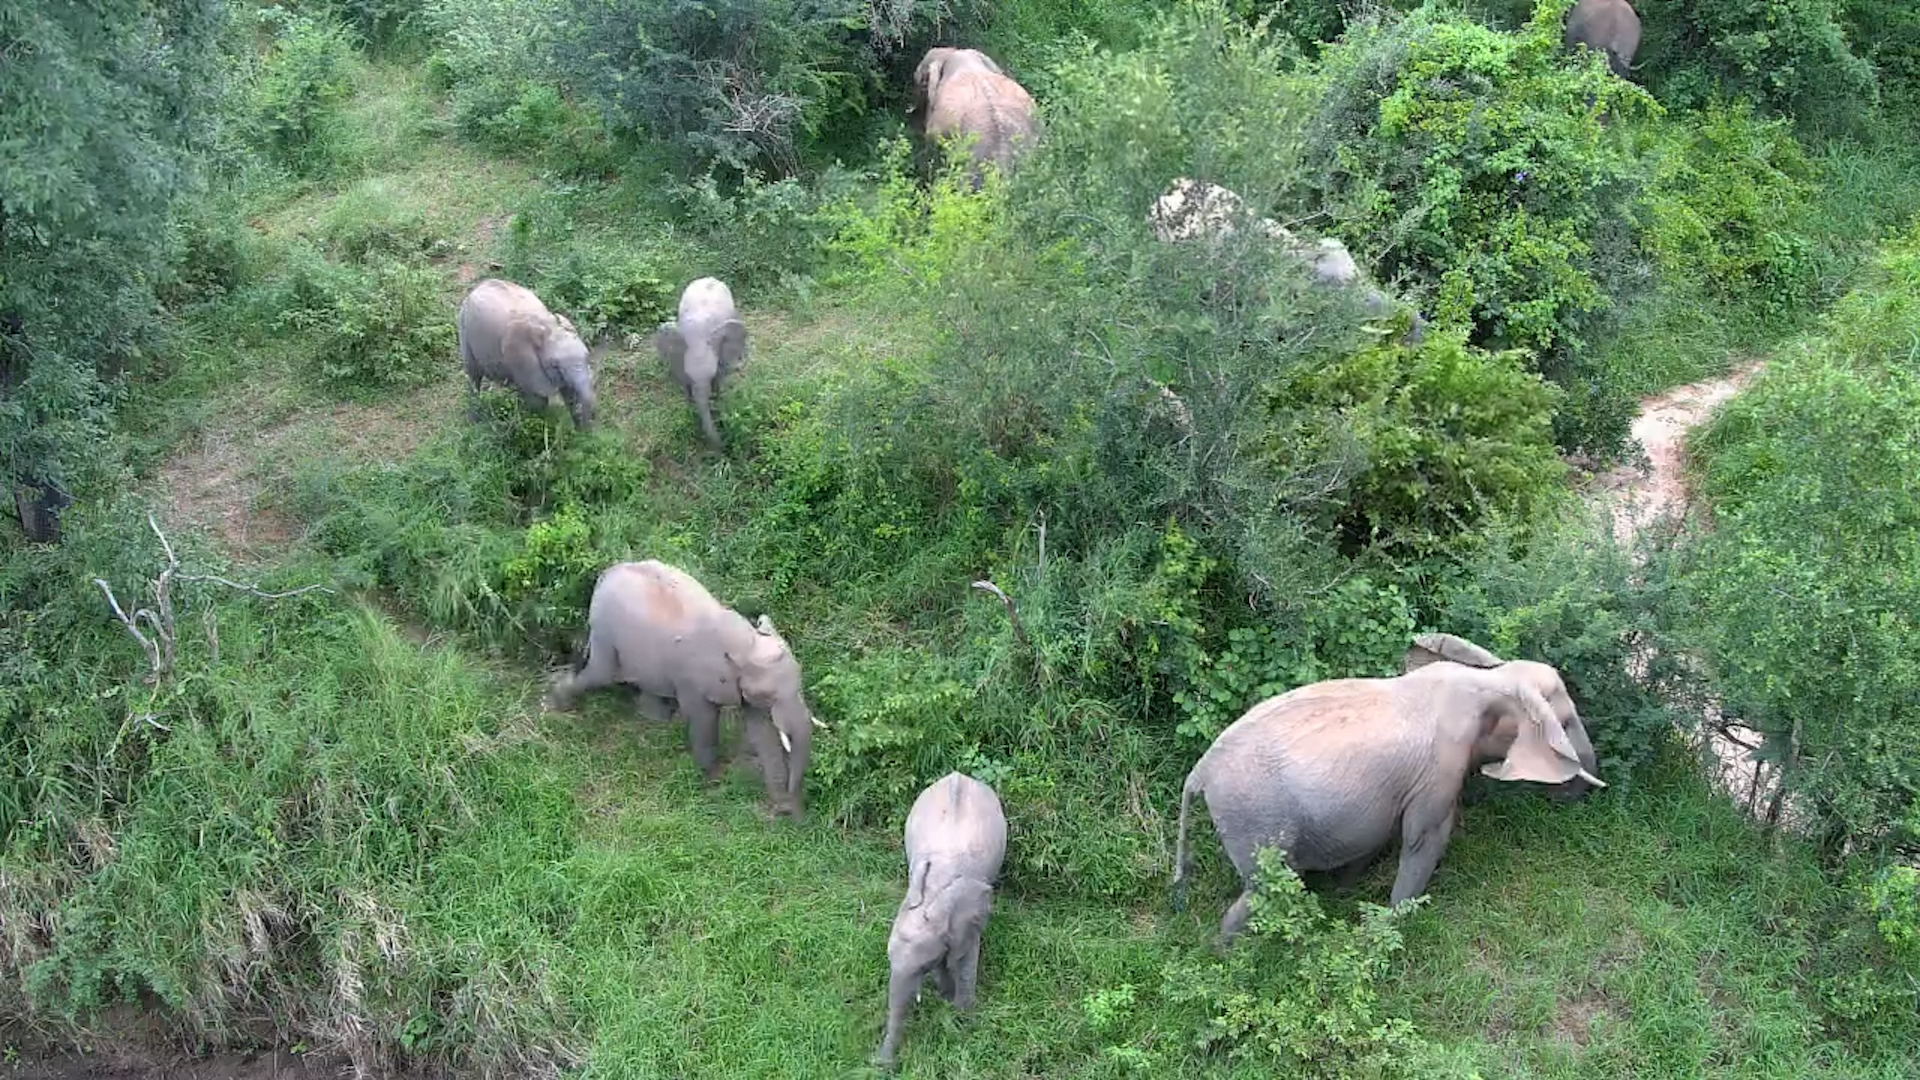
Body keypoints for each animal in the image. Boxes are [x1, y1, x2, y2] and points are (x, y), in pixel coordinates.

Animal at [456, 278, 603, 429]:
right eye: (554, 365)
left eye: (587, 357)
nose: (591, 425)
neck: (548, 326)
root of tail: (479, 286)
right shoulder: (522, 360)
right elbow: (537, 400)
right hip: (463, 326)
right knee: (474, 375)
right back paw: (474, 420)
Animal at [544, 559, 819, 818]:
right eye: (769, 695)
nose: (791, 808)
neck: (745, 641)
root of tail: (607, 573)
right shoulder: (694, 679)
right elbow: (704, 720)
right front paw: (713, 782)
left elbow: (761, 732)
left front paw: (782, 808)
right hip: (605, 628)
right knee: (601, 673)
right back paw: (557, 703)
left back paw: (655, 718)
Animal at [653, 277, 746, 449]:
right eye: (689, 376)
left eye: (710, 375)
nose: (724, 446)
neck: (699, 337)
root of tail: (709, 278)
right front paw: (690, 408)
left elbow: (719, 377)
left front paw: (718, 403)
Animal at [876, 771, 1008, 1069]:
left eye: (921, 966)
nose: (881, 1065)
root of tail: (958, 774)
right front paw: (947, 999)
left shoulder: (972, 913)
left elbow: (966, 957)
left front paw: (964, 1019)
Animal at [1172, 632, 1604, 945]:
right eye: (1566, 723)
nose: (1581, 794)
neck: (1491, 680)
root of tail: (1199, 773)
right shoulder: (1439, 769)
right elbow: (1425, 840)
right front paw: (1387, 927)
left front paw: (1348, 891)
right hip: (1256, 820)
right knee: (1266, 891)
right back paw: (1230, 954)